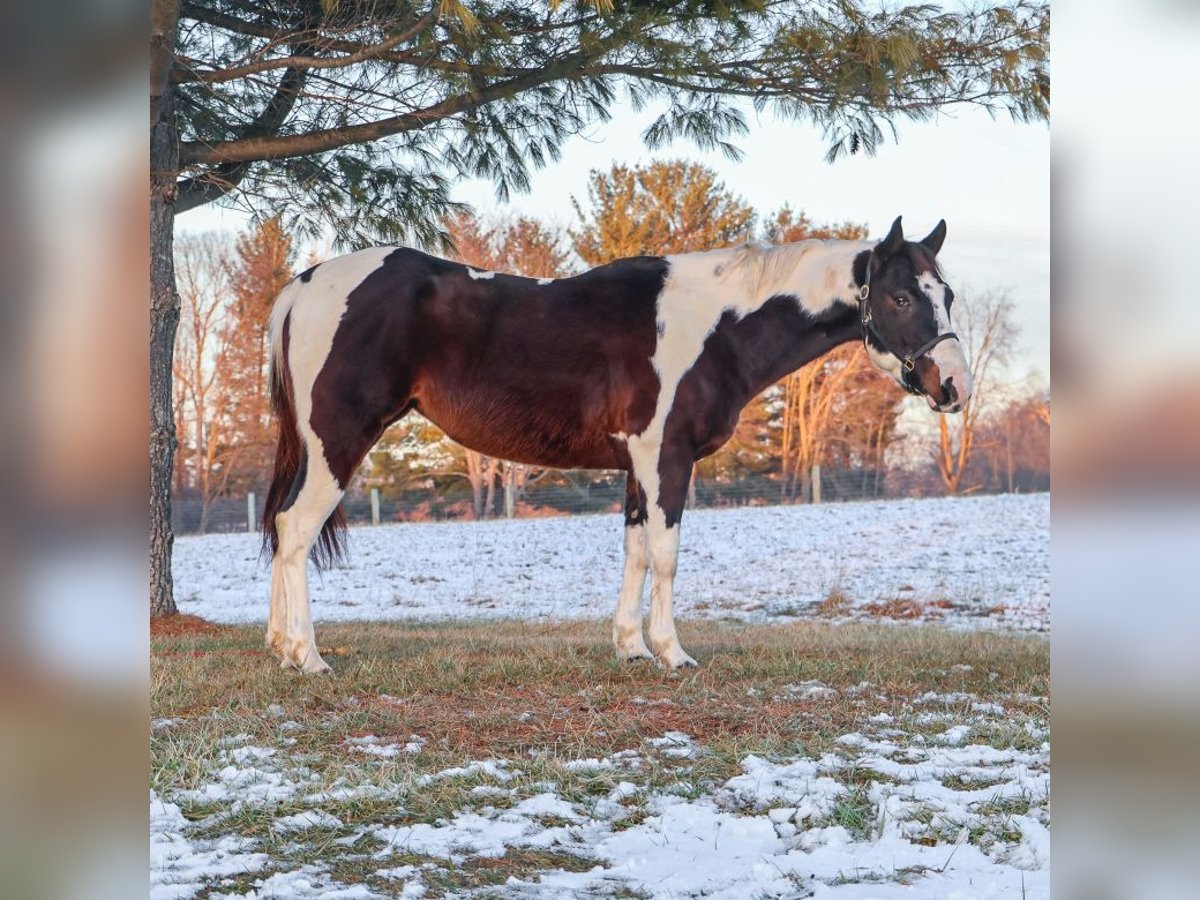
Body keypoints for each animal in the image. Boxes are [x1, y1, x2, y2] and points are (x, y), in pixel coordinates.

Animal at [261, 216, 972, 673]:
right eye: (901, 296)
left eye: (947, 294)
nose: (954, 386)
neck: (714, 325)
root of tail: (306, 283)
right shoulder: (667, 458)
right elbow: (666, 555)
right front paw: (673, 653)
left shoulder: (638, 464)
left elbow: (634, 553)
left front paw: (631, 647)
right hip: (339, 441)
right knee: (295, 529)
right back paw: (308, 656)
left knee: (280, 525)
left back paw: (277, 645)